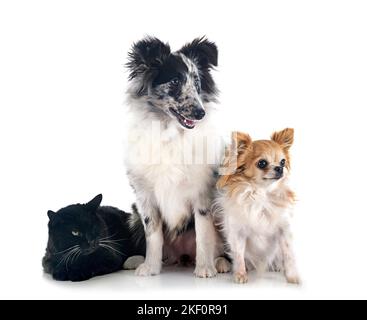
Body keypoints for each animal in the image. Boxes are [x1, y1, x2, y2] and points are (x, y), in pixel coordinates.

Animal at [125, 37, 229, 278]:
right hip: (133, 215)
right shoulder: (145, 196)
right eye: (174, 81)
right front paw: (150, 267)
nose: (200, 113)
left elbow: (203, 233)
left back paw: (220, 263)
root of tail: (182, 257)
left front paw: (205, 268)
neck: (170, 133)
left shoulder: (202, 193)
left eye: (197, 82)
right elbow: (153, 234)